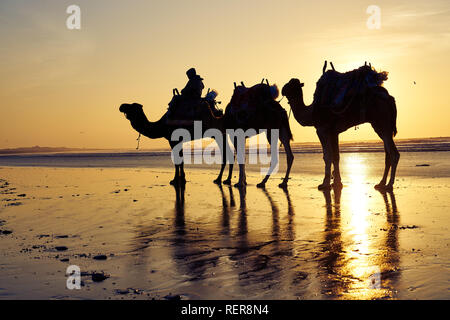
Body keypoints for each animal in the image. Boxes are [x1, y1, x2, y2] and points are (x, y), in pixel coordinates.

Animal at [282, 63, 400, 191]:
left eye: (290, 85)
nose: (282, 90)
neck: (311, 112)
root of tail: (390, 99)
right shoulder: (334, 132)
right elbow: (336, 156)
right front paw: (337, 183)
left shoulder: (322, 130)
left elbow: (327, 156)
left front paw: (325, 184)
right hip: (382, 126)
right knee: (388, 153)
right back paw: (381, 183)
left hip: (381, 123)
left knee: (394, 154)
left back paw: (389, 184)